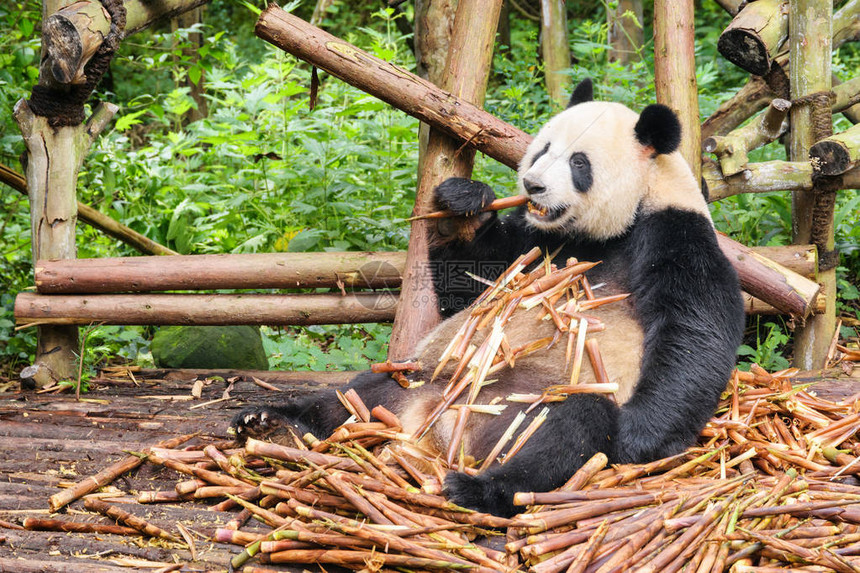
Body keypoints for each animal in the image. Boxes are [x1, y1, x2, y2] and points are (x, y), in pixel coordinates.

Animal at [233, 79, 744, 520]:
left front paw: (639, 437)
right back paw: (272, 422)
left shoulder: (673, 232)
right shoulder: (536, 241)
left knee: (567, 429)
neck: (610, 228)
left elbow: (693, 332)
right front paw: (462, 205)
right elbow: (475, 286)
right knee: (355, 395)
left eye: (579, 163)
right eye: (543, 149)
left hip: (528, 404)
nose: (534, 185)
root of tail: (435, 436)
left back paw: (479, 488)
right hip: (419, 382)